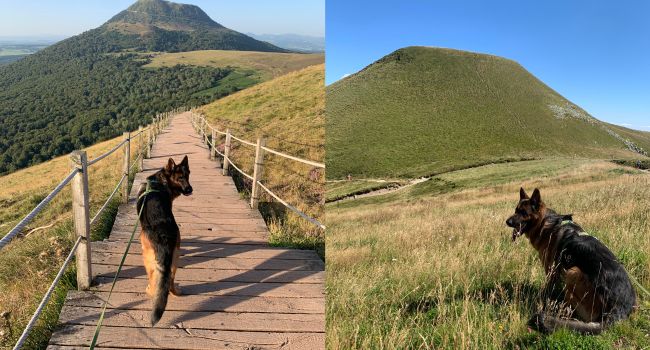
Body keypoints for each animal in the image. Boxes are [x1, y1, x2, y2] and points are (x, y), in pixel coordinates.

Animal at [134, 156, 190, 326]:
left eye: (187, 176)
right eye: (181, 178)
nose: (190, 189)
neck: (159, 181)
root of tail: (163, 235)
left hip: (147, 258)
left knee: (154, 283)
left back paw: (149, 291)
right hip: (175, 257)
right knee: (169, 280)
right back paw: (175, 291)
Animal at [502, 189, 632, 334]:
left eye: (523, 213)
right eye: (516, 210)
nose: (507, 222)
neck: (546, 223)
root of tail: (618, 308)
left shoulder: (551, 271)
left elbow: (547, 292)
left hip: (573, 272)